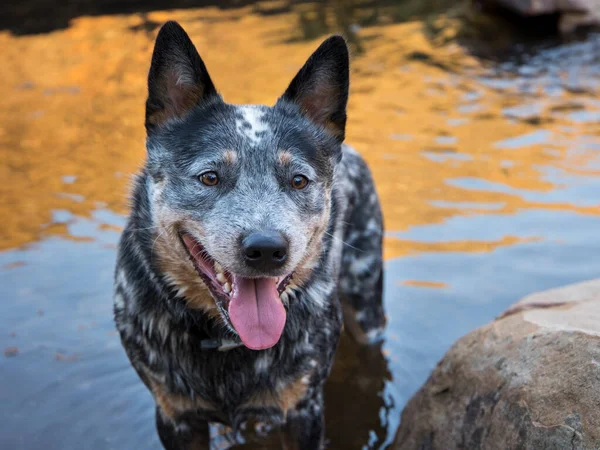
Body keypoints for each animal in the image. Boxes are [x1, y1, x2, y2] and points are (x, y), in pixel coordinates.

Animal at [113, 21, 384, 450]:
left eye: (298, 180)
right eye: (209, 177)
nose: (267, 249)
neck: (227, 339)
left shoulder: (303, 410)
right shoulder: (175, 415)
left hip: (366, 296)